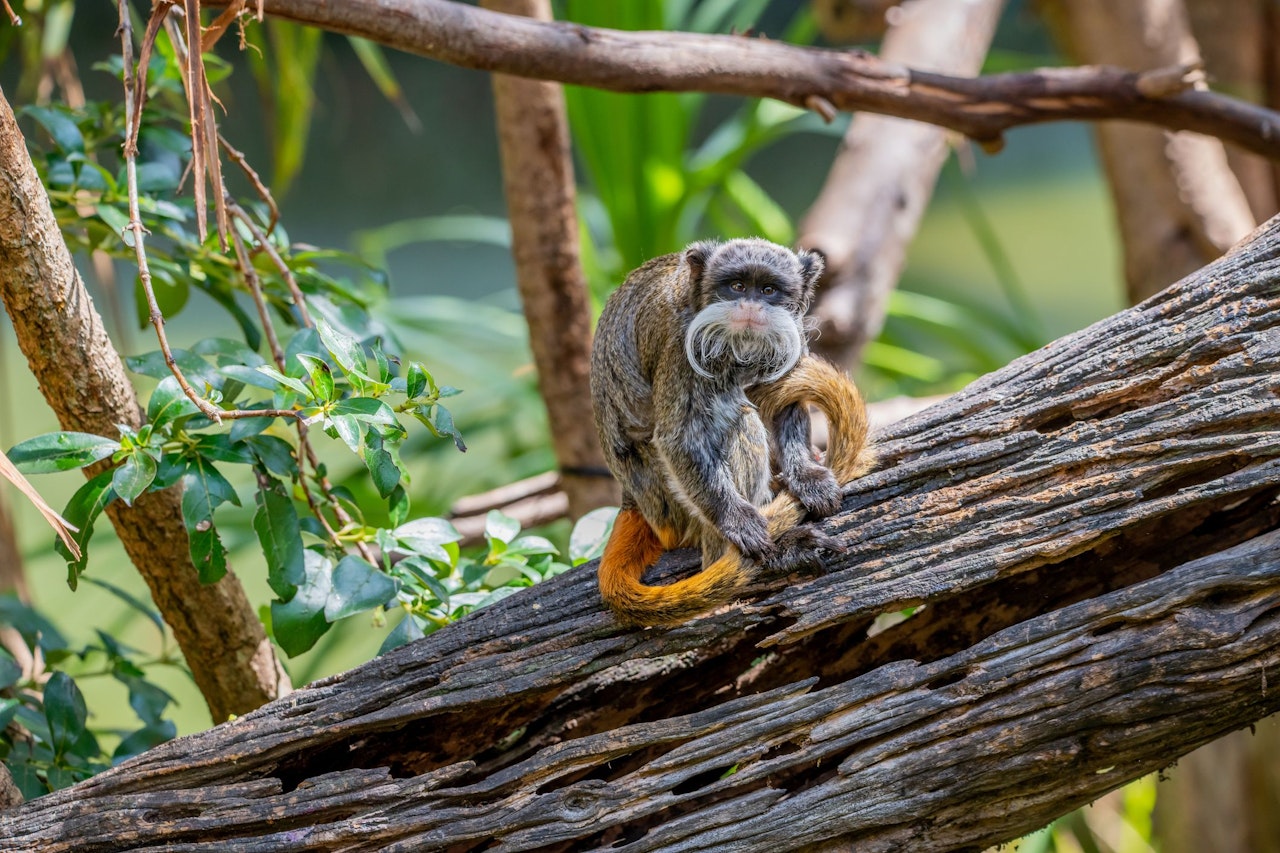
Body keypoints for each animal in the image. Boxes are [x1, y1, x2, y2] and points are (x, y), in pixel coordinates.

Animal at [586, 235, 870, 622]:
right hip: (672, 506)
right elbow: (679, 437)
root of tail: (632, 501)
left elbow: (787, 401)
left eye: (768, 290)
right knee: (741, 420)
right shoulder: (682, 344)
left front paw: (806, 475)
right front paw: (738, 520)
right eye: (736, 286)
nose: (749, 305)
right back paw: (763, 559)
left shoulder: (791, 330)